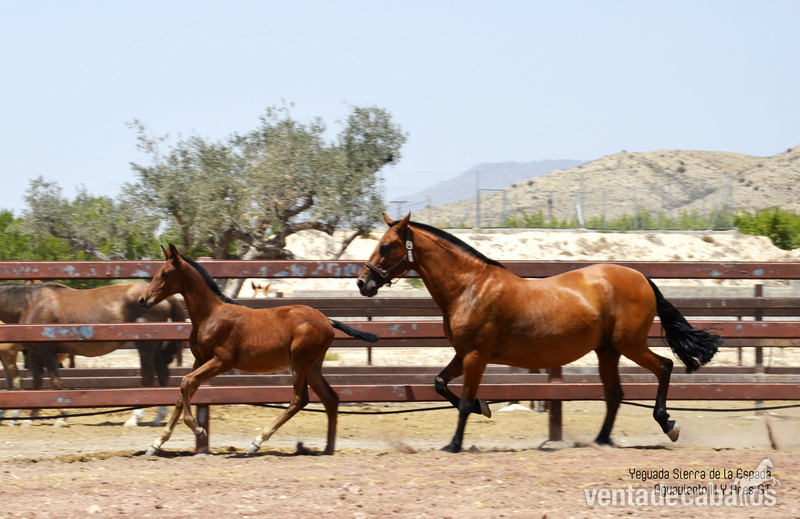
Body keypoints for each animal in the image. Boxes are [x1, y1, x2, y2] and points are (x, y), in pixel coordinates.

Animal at [0, 282, 187, 426]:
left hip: (146, 347)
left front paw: (61, 418)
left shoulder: (47, 351)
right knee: (163, 376)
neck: (30, 304)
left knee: (148, 379)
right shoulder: (35, 353)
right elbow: (37, 385)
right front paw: (30, 419)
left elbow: (56, 382)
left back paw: (134, 419)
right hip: (156, 348)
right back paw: (158, 418)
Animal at [138, 244, 379, 456]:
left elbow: (186, 382)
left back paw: (256, 442)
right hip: (313, 367)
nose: (143, 299)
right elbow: (182, 393)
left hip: (300, 362)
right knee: (331, 398)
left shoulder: (222, 361)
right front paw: (155, 445)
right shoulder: (201, 360)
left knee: (299, 399)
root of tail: (327, 320)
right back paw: (327, 449)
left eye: (165, 273)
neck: (211, 316)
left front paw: (198, 429)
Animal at [357, 214, 722, 452]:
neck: (469, 287)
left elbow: (462, 402)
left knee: (664, 366)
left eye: (387, 246)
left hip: (628, 344)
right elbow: (440, 384)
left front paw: (454, 444)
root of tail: (641, 277)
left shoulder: (476, 355)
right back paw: (601, 441)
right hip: (608, 350)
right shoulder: (464, 354)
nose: (363, 283)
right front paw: (484, 407)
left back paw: (668, 424)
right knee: (615, 394)